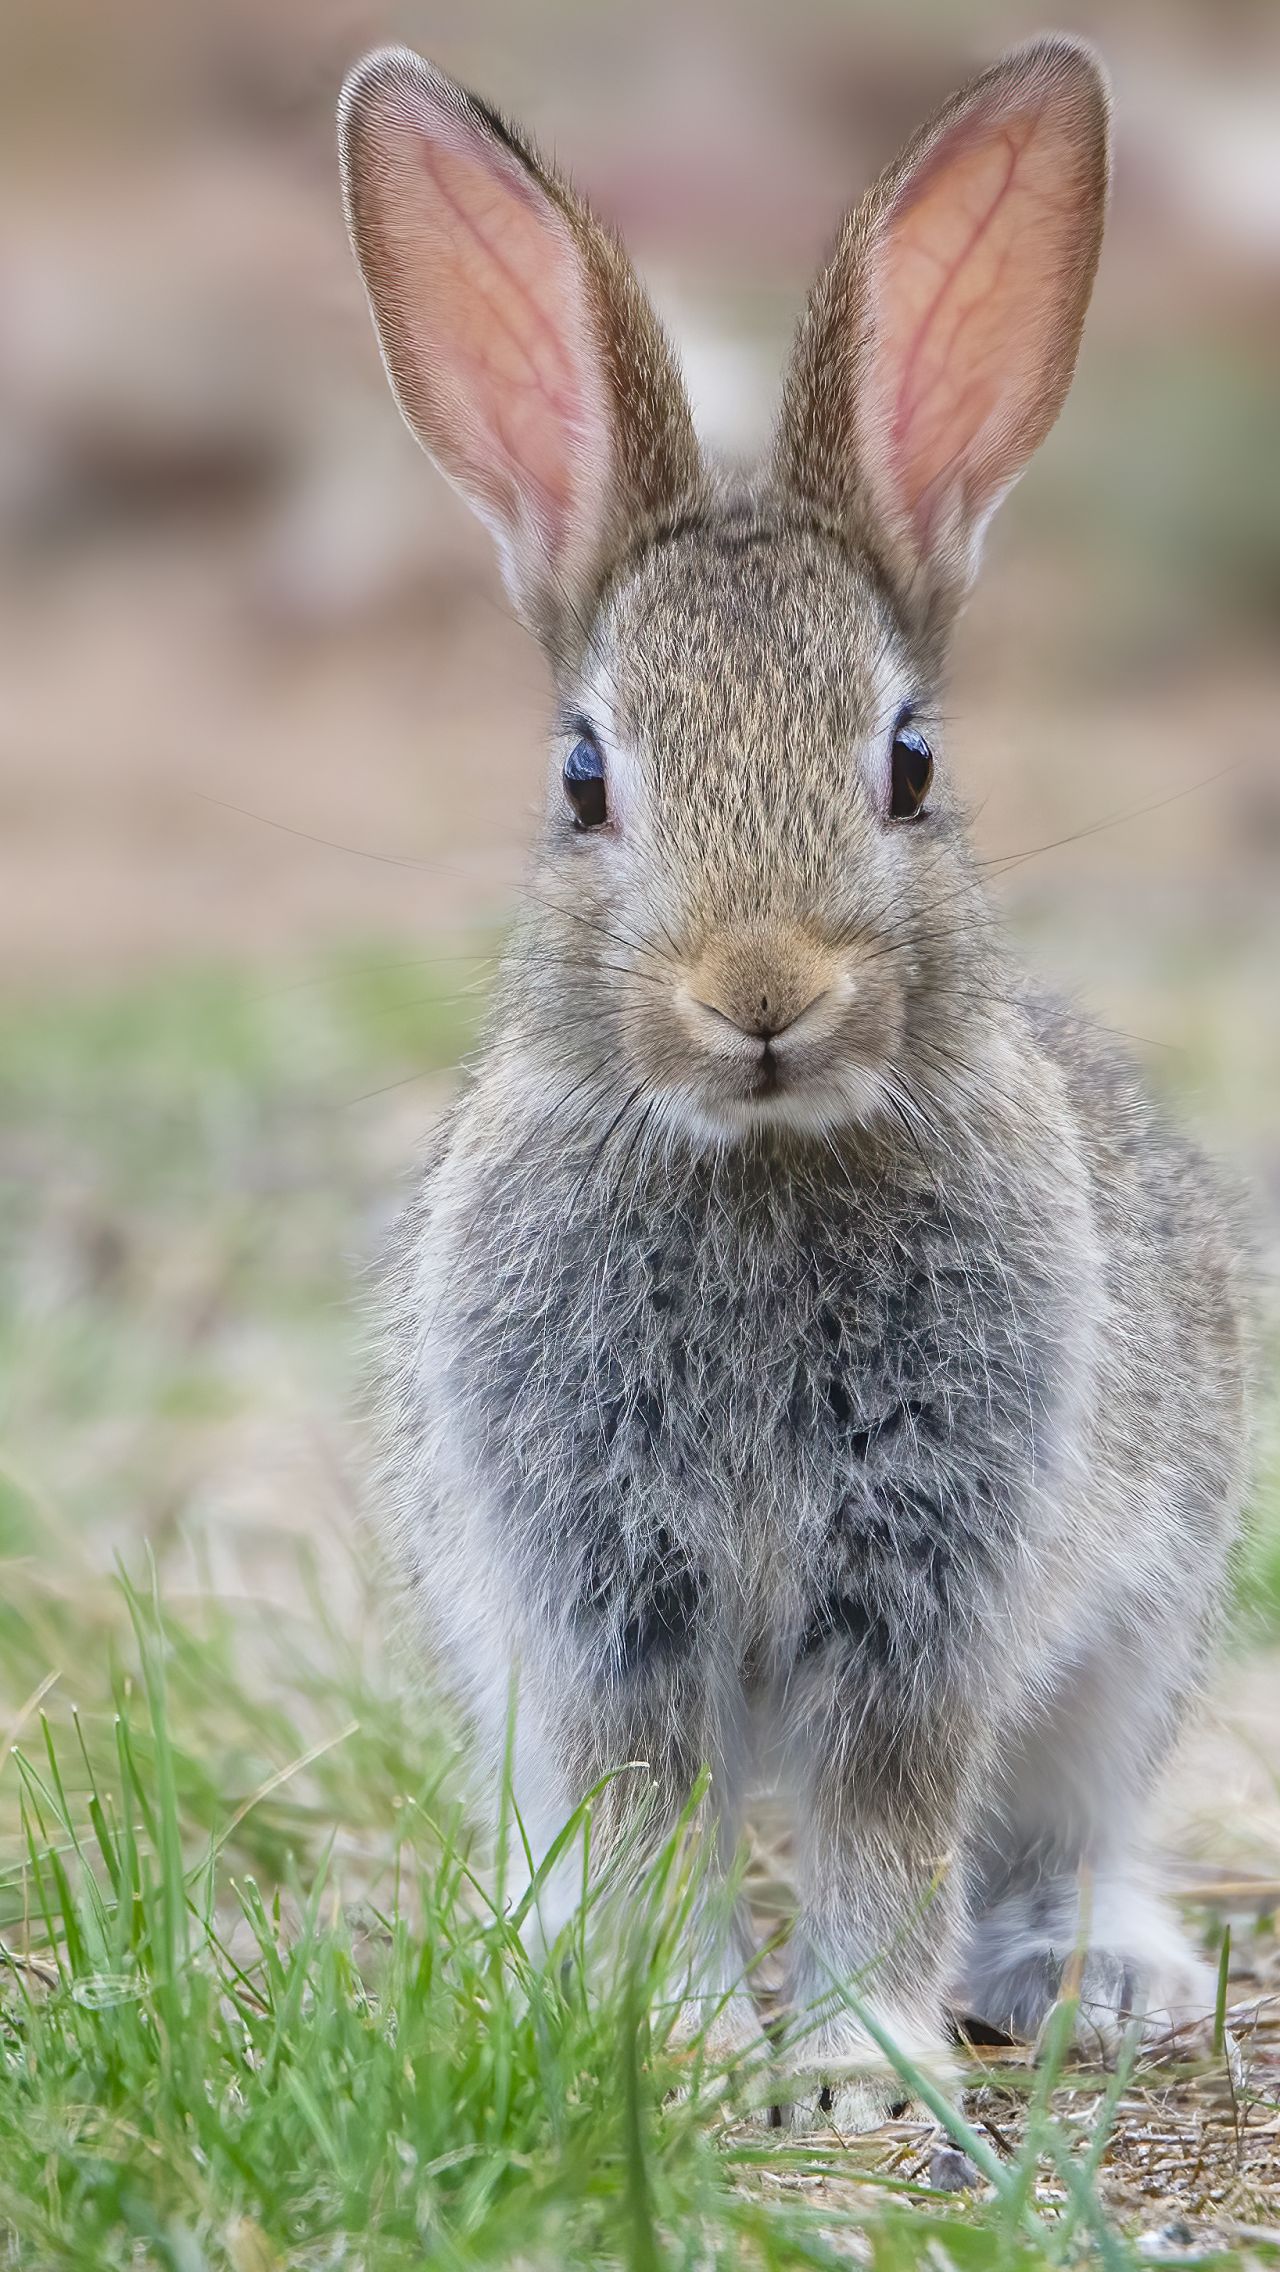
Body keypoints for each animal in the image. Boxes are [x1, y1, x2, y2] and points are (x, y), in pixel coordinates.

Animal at [338, 40, 1254, 2126]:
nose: (761, 992)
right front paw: (668, 2037)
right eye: (584, 778)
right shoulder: (603, 1602)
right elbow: (647, 1815)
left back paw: (1100, 1970)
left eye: (908, 764)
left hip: (1142, 1627)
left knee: (1066, 1821)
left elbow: (888, 1818)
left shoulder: (927, 1588)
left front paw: (849, 2065)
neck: (756, 1158)